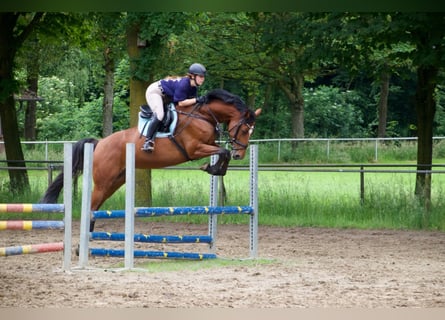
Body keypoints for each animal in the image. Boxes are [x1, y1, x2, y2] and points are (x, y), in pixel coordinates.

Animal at [40, 89, 260, 231]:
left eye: (251, 131)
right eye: (243, 129)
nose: (240, 155)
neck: (203, 115)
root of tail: (100, 142)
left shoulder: (208, 143)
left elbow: (222, 152)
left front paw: (214, 168)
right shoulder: (194, 148)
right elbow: (223, 151)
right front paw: (211, 167)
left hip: (115, 182)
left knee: (97, 206)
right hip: (103, 182)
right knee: (92, 206)